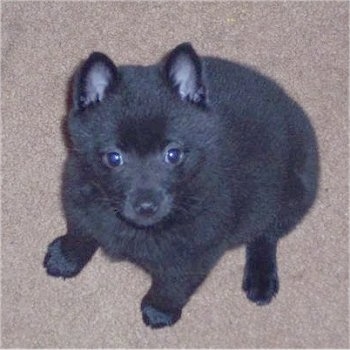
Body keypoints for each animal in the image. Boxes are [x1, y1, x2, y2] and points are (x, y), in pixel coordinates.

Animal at [43, 43, 318, 328]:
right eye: (114, 157)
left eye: (173, 154)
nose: (146, 207)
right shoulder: (78, 199)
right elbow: (80, 233)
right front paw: (65, 258)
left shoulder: (195, 253)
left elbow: (173, 285)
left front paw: (159, 311)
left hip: (295, 196)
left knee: (266, 235)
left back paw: (261, 277)